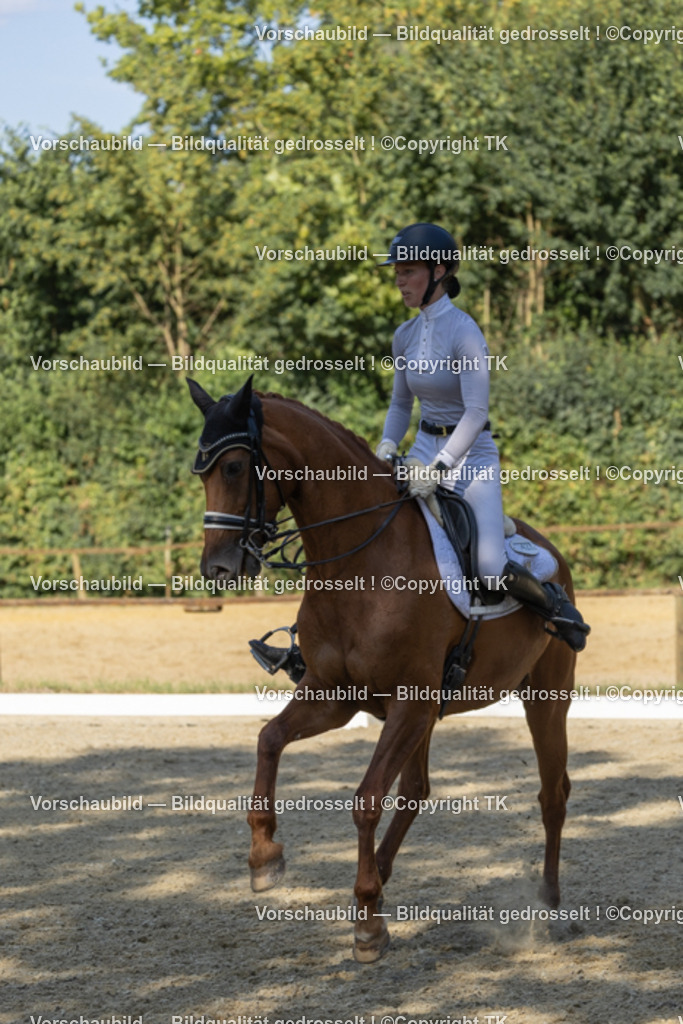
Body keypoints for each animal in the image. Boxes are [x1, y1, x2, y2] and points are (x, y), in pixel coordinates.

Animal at [188, 376, 576, 963]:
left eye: (233, 468)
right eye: (202, 471)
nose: (218, 568)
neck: (358, 562)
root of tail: (550, 552)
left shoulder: (407, 700)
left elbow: (366, 798)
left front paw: (368, 926)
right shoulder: (337, 695)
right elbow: (268, 740)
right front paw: (264, 857)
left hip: (543, 700)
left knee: (552, 794)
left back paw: (547, 906)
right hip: (428, 713)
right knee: (416, 789)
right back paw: (383, 879)